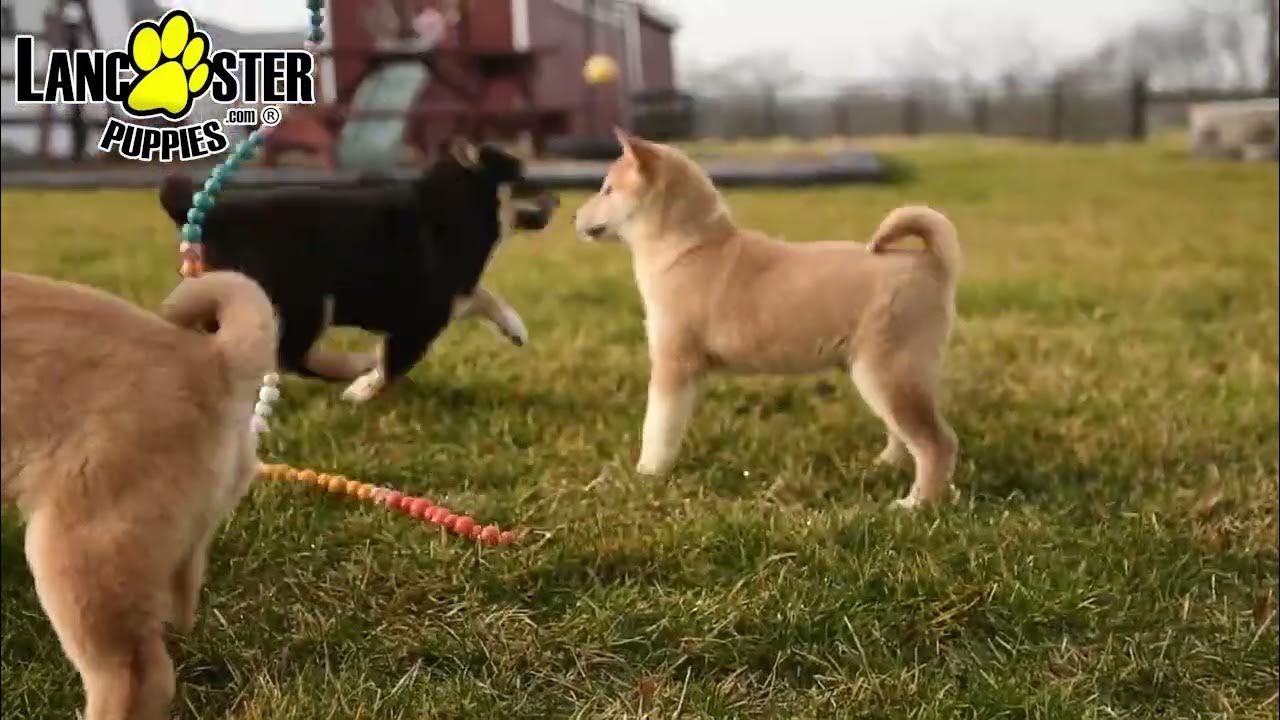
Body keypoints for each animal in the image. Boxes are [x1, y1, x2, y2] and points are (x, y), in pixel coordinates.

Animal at [157, 139, 558, 397]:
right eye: (524, 180)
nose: (557, 197)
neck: (452, 210)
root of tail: (217, 218)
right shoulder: (424, 319)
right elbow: (394, 363)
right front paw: (363, 390)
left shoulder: (455, 296)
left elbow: (485, 296)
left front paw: (515, 328)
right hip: (307, 301)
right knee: (287, 355)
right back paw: (352, 366)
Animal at [573, 131, 962, 507]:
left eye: (608, 189)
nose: (573, 216)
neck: (690, 248)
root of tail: (931, 262)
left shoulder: (674, 364)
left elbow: (657, 427)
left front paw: (646, 475)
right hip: (889, 376)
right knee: (905, 436)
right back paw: (884, 466)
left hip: (885, 374)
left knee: (936, 443)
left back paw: (916, 504)